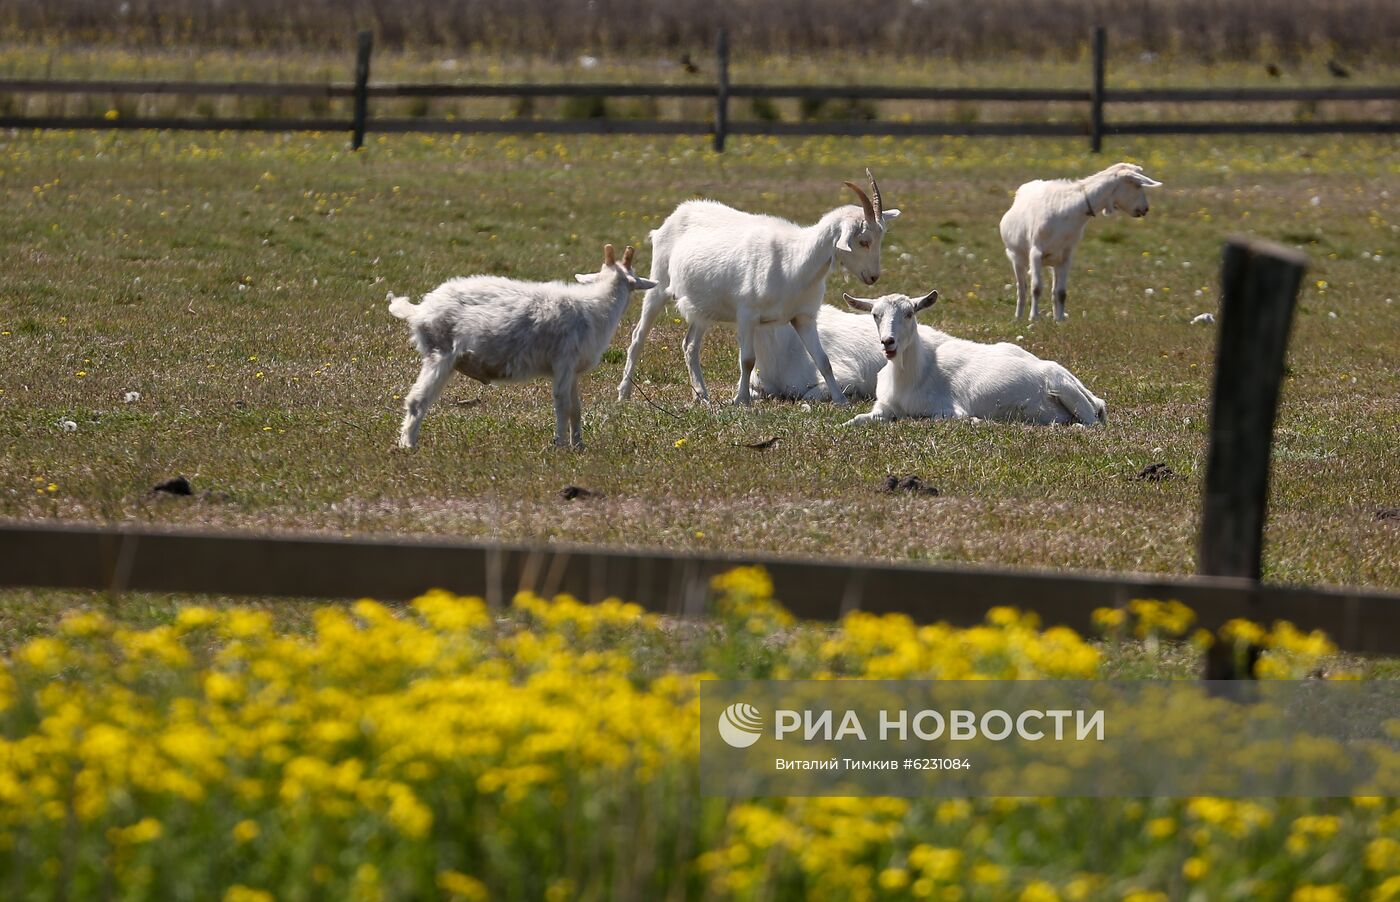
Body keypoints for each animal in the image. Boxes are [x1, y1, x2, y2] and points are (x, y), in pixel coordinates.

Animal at [389, 243, 655, 451]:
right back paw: (408, 445)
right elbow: (562, 404)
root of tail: (420, 310)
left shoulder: (573, 371)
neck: (596, 307)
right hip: (439, 354)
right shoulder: (563, 362)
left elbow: (576, 408)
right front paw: (560, 445)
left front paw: (579, 445)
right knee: (417, 400)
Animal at [834, 291, 1108, 428]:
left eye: (910, 313)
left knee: (1092, 424)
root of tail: (1095, 398)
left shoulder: (949, 409)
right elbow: (856, 420)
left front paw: (978, 421)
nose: (888, 342)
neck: (913, 375)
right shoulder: (884, 407)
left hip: (1067, 391)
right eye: (875, 314)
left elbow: (942, 418)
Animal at [1002, 163, 1164, 322]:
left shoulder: (1066, 256)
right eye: (1137, 185)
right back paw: (1018, 318)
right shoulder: (1036, 252)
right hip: (1016, 257)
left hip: (1054, 262)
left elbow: (1061, 292)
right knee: (1021, 288)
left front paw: (1060, 321)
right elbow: (1036, 288)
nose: (1145, 209)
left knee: (1051, 290)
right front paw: (1033, 318)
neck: (1071, 210)